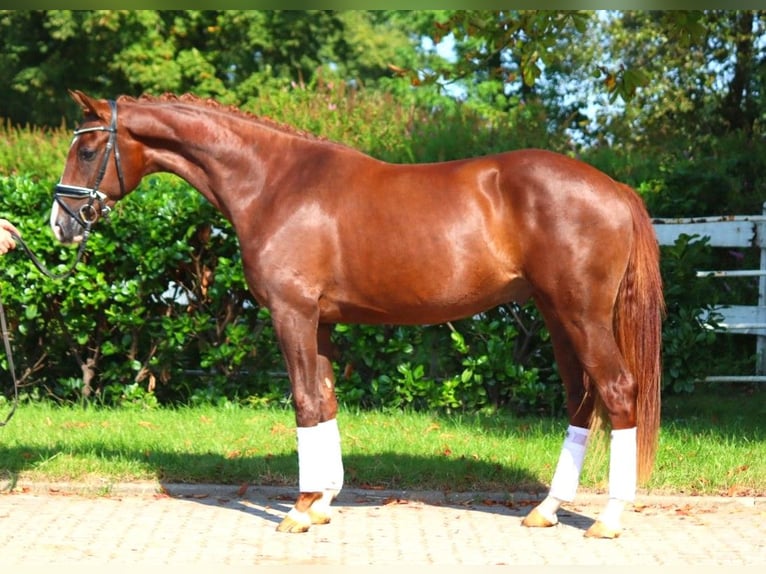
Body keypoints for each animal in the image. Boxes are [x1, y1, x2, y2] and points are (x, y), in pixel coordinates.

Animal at [54, 90, 664, 540]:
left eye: (87, 150)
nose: (61, 224)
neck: (274, 183)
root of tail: (613, 188)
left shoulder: (292, 315)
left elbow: (304, 401)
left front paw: (299, 509)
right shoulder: (320, 322)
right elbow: (325, 400)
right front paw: (323, 501)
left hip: (582, 317)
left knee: (617, 392)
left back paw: (608, 519)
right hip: (559, 318)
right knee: (582, 401)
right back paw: (547, 509)